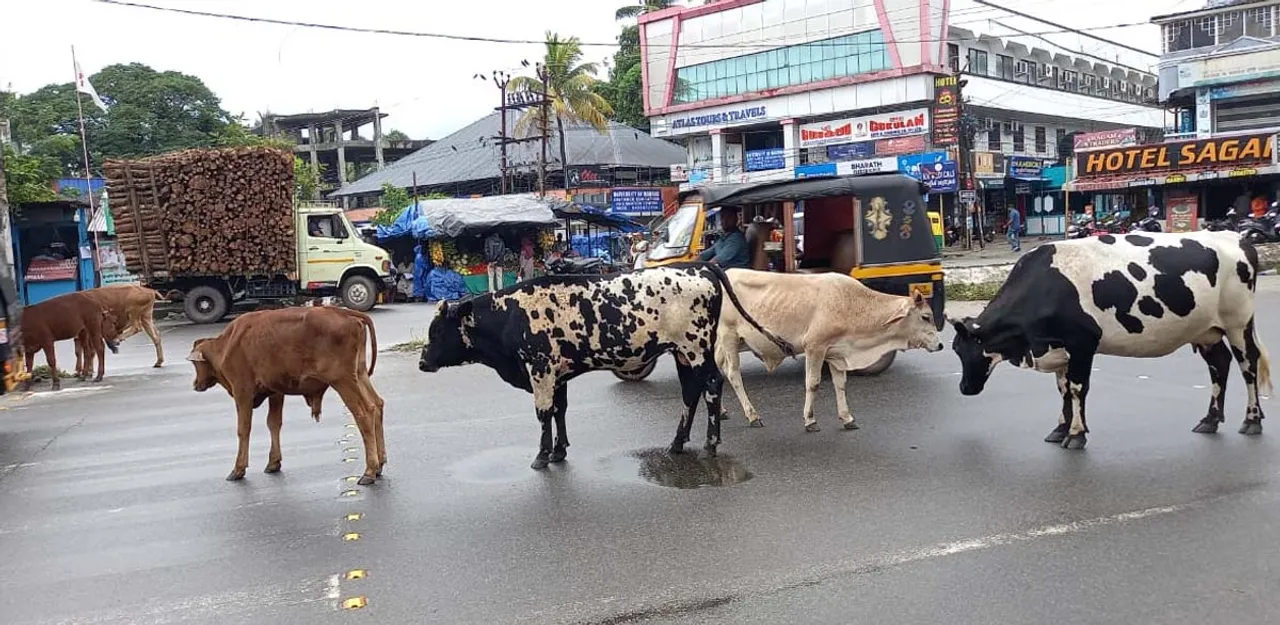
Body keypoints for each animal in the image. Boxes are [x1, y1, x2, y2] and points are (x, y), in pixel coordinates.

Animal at [187, 306, 385, 484]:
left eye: (196, 364)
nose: (195, 384)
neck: (227, 345)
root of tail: (344, 311)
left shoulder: (242, 392)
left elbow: (243, 429)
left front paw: (238, 469)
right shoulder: (275, 392)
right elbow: (274, 423)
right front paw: (273, 462)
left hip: (343, 381)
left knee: (365, 412)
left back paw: (369, 471)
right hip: (359, 374)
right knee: (377, 404)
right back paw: (380, 463)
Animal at [418, 262, 795, 470]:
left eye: (436, 331)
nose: (422, 361)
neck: (511, 315)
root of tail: (698, 266)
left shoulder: (540, 371)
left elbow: (543, 414)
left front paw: (542, 455)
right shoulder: (558, 374)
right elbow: (559, 411)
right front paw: (559, 450)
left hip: (696, 348)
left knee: (712, 386)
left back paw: (711, 442)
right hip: (682, 353)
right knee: (691, 392)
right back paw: (677, 443)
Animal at [716, 269, 944, 432]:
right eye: (925, 316)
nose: (941, 345)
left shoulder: (836, 353)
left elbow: (840, 385)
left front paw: (847, 417)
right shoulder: (815, 346)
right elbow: (813, 383)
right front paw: (810, 420)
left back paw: (721, 410)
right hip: (729, 336)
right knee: (733, 374)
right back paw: (752, 415)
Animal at [949, 230, 1272, 450]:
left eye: (968, 351)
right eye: (956, 350)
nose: (964, 388)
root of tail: (1235, 237)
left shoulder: (1082, 343)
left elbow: (1077, 389)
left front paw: (1076, 434)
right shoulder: (1058, 347)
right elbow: (1063, 389)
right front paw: (1061, 428)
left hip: (1238, 323)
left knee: (1248, 366)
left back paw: (1252, 420)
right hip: (1206, 330)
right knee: (1219, 365)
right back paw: (1210, 419)